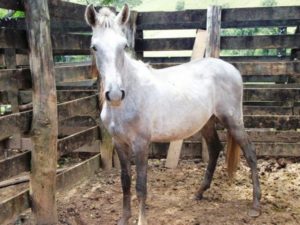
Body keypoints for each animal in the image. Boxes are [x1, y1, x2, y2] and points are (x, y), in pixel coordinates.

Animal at [84, 4, 260, 225]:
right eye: (94, 47)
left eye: (123, 46)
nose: (115, 94)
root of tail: (232, 70)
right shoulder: (119, 143)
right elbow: (125, 182)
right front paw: (124, 219)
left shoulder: (141, 143)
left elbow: (141, 186)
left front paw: (141, 220)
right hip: (207, 122)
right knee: (214, 149)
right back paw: (199, 192)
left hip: (233, 120)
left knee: (250, 153)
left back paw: (256, 205)